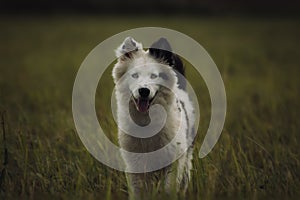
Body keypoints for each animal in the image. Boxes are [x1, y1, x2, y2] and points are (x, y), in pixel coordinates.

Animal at [112, 36, 195, 198]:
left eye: (154, 76)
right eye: (134, 75)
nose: (143, 91)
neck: (146, 122)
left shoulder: (173, 160)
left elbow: (169, 188)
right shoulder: (135, 165)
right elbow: (138, 191)